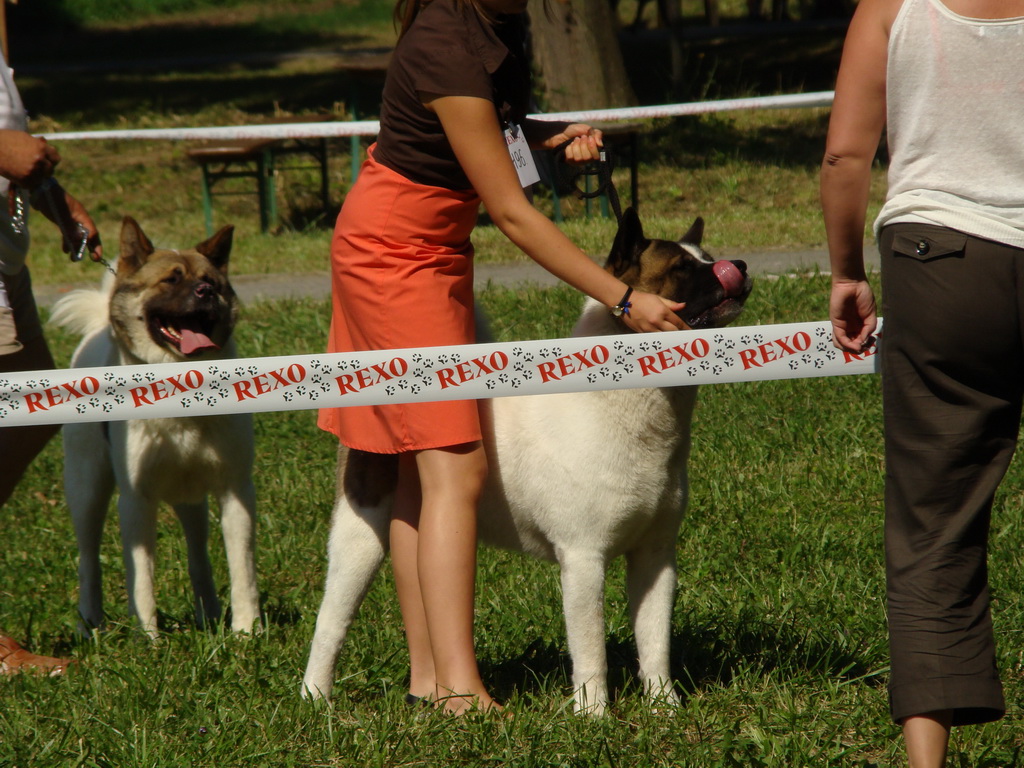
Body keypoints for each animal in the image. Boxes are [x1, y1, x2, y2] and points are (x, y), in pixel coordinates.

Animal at [51, 218, 260, 643]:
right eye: (171, 280)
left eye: (210, 281)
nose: (205, 292)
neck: (183, 386)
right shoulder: (135, 501)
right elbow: (141, 576)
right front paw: (148, 639)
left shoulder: (235, 490)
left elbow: (241, 567)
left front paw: (246, 632)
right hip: (87, 489)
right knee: (88, 558)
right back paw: (88, 624)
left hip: (192, 498)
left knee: (198, 556)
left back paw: (209, 615)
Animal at [299, 210, 749, 716]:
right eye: (681, 268)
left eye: (708, 257)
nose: (738, 266)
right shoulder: (583, 559)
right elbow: (590, 650)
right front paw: (595, 715)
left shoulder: (655, 556)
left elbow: (654, 640)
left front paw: (663, 707)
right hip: (359, 531)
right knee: (331, 622)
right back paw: (315, 697)